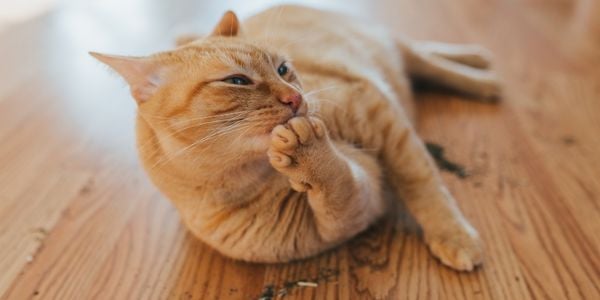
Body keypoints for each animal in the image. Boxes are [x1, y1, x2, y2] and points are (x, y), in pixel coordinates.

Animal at [91, 5, 500, 272]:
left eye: (283, 69)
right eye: (237, 80)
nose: (295, 98)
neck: (264, 175)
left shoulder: (378, 112)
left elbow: (422, 182)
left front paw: (454, 235)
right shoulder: (348, 213)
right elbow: (340, 189)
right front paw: (312, 156)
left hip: (391, 50)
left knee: (430, 59)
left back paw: (482, 73)